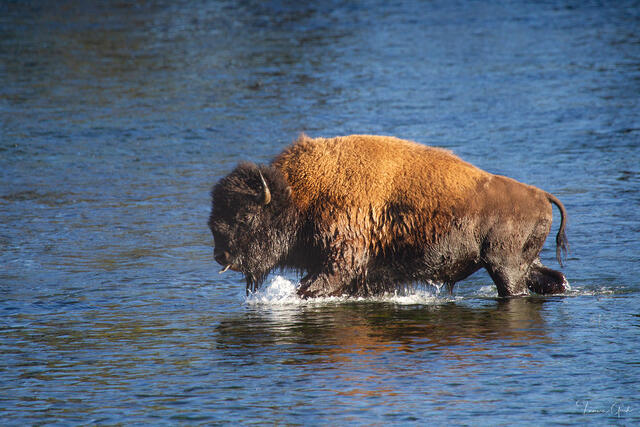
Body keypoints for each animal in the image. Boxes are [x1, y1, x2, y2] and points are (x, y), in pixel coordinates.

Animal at [208, 134, 569, 298]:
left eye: (244, 218)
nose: (219, 255)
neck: (300, 197)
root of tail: (540, 195)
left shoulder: (338, 262)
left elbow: (310, 287)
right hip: (522, 262)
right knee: (551, 278)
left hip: (503, 266)